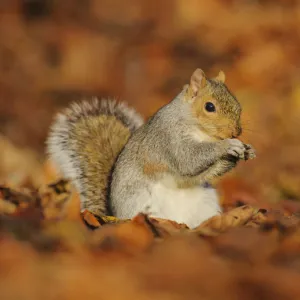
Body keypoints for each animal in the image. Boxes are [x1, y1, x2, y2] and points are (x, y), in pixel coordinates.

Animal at [46, 68, 255, 227]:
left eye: (237, 103)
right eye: (209, 107)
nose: (236, 131)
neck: (199, 130)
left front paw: (246, 150)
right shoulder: (169, 139)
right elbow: (188, 159)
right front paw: (227, 145)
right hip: (141, 202)